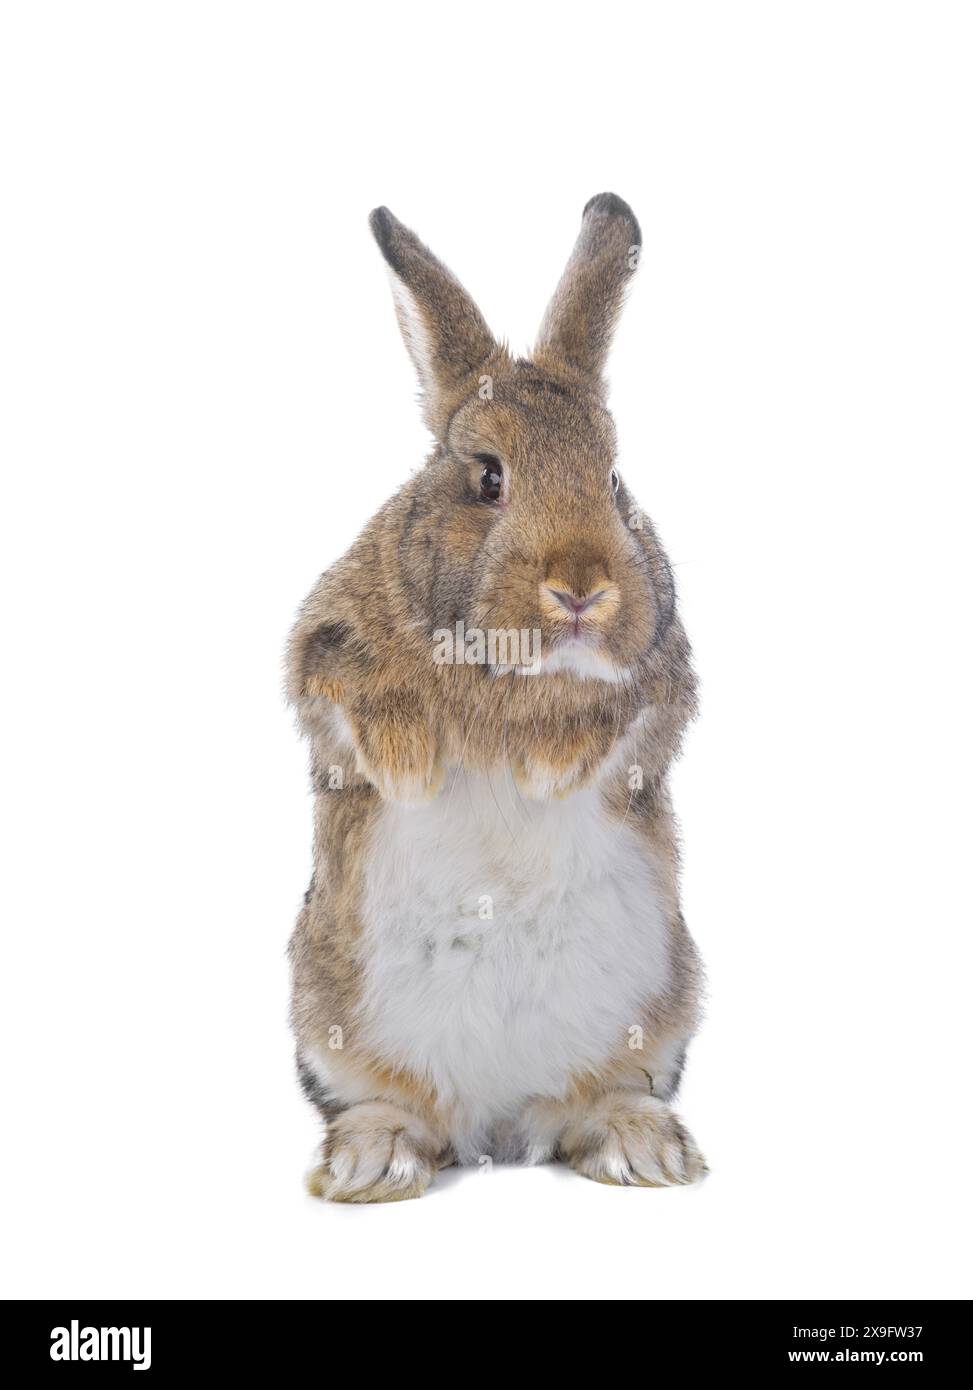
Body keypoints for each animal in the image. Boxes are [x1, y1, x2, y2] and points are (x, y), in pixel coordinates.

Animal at [287, 193, 706, 1201]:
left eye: (612, 480)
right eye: (487, 477)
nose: (582, 588)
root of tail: (500, 1123)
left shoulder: (662, 684)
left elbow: (612, 720)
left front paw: (546, 766)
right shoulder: (320, 661)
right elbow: (364, 705)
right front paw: (410, 767)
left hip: (659, 1020)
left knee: (594, 1103)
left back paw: (639, 1144)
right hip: (328, 1023)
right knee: (394, 1106)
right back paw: (371, 1160)